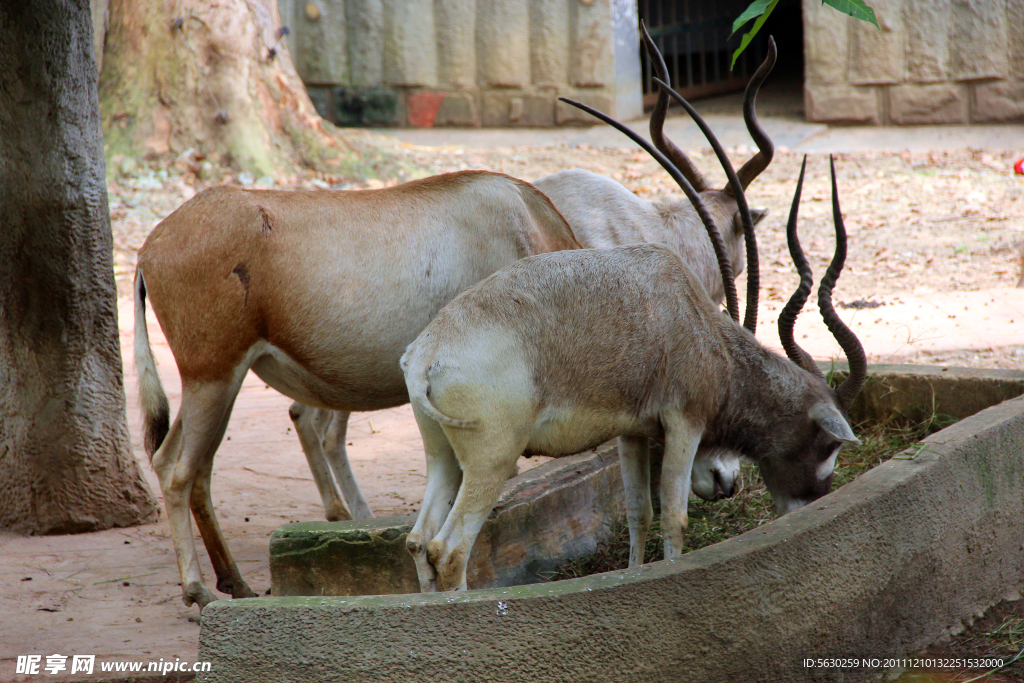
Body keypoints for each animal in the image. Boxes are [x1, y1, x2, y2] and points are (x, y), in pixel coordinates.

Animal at [399, 88, 864, 593]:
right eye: (831, 444)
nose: (728, 484)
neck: (701, 327)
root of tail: (426, 356)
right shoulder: (684, 422)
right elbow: (675, 518)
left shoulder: (631, 432)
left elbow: (639, 512)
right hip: (492, 459)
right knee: (450, 550)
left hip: (444, 455)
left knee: (420, 541)